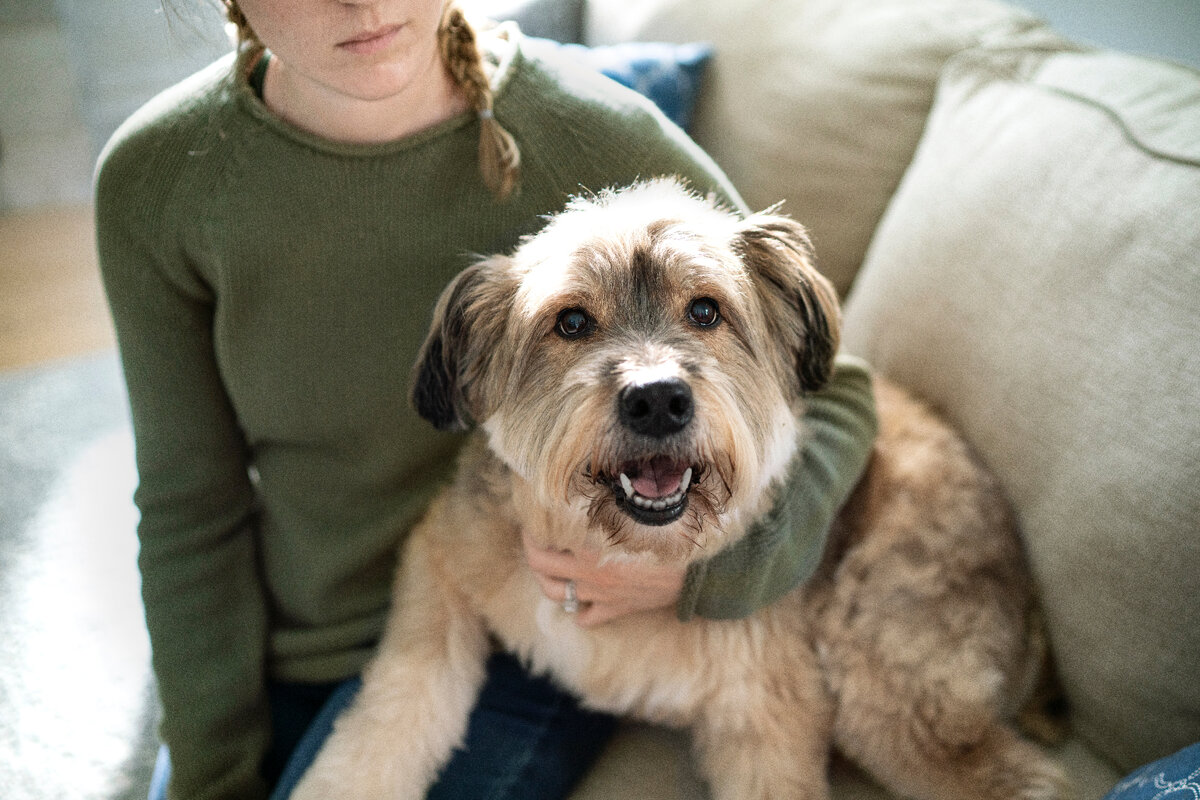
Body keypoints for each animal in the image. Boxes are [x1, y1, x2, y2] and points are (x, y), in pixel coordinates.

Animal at [292, 178, 1070, 796]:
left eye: (705, 311)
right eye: (570, 321)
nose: (657, 401)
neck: (621, 551)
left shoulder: (770, 724)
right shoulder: (442, 563)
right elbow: (392, 718)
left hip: (887, 689)